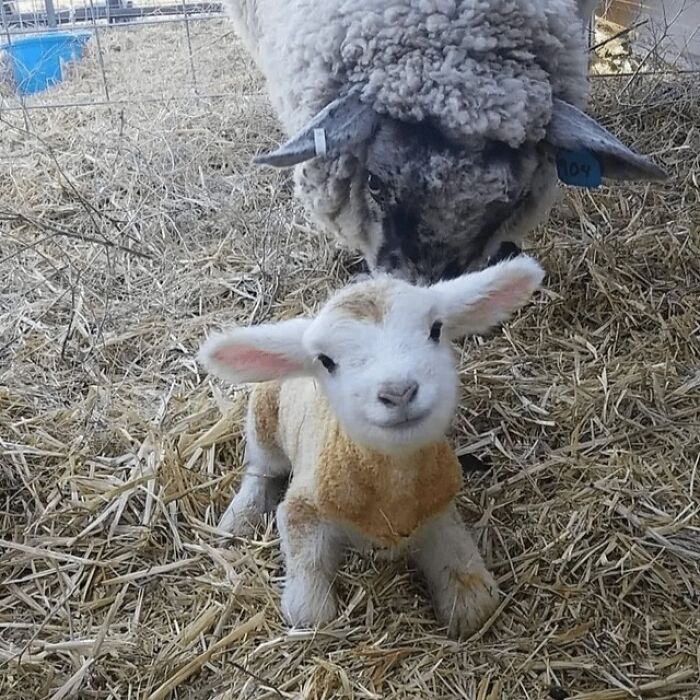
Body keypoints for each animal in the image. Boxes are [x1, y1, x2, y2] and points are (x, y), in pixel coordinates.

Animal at [198, 255, 545, 638]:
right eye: (326, 360)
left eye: (436, 329)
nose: (399, 392)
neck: (392, 489)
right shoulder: (304, 507)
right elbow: (309, 609)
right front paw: (310, 605)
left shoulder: (437, 507)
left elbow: (473, 591)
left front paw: (466, 599)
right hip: (263, 419)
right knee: (261, 469)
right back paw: (239, 518)